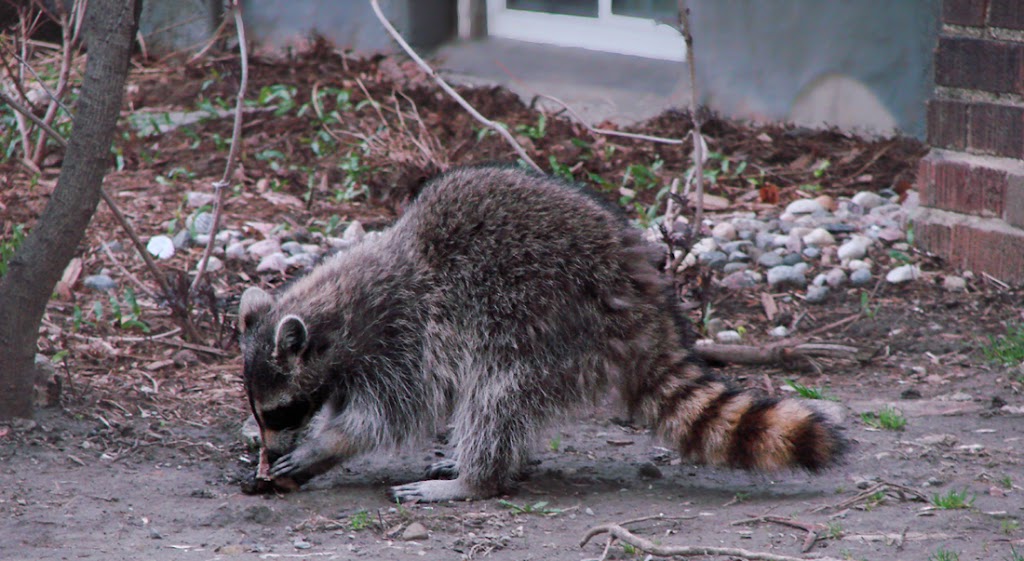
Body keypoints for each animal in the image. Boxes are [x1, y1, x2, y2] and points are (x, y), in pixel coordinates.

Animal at [239, 164, 847, 501]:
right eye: (262, 413)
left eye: (280, 411)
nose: (268, 452)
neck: (339, 316)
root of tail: (643, 291)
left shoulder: (405, 335)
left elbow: (387, 415)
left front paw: (327, 445)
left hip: (547, 323)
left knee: (496, 394)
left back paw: (477, 478)